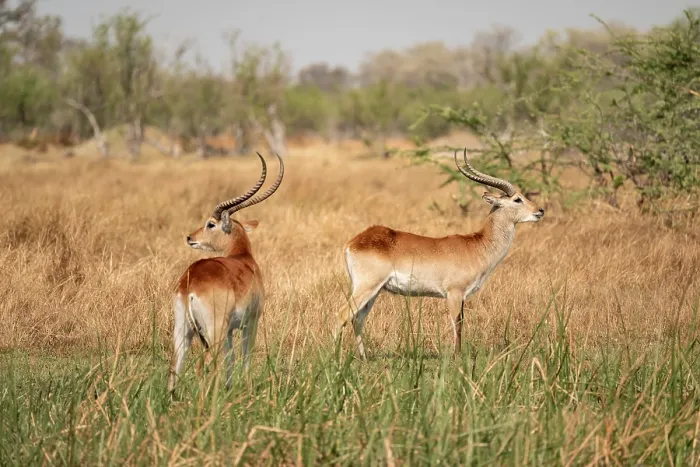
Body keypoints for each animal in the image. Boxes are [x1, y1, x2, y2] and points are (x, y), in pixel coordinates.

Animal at [168, 152, 284, 394]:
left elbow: (231, 359)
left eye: (211, 224)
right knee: (205, 365)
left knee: (175, 365)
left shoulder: (231, 330)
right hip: (213, 332)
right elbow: (246, 356)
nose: (190, 237)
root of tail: (188, 285)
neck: (243, 258)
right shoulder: (251, 322)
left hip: (183, 329)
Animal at [335, 149, 544, 359]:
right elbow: (457, 325)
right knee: (342, 315)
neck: (477, 245)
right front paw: (457, 358)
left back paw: (364, 359)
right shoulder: (454, 293)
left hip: (375, 290)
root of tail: (354, 242)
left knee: (357, 319)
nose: (540, 210)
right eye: (517, 199)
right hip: (366, 287)